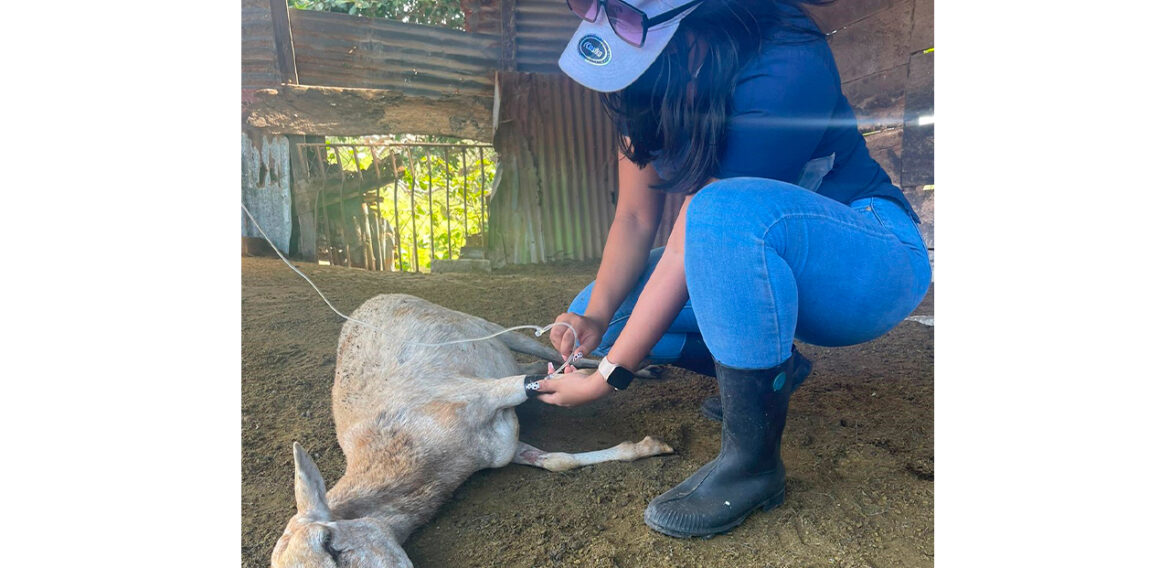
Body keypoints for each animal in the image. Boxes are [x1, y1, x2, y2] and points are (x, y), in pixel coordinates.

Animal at [266, 293, 669, 564]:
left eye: (329, 544)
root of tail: (374, 299)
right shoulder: (500, 448)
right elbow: (558, 460)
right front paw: (648, 446)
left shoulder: (475, 393)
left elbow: (531, 384)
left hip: (488, 327)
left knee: (552, 352)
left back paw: (641, 368)